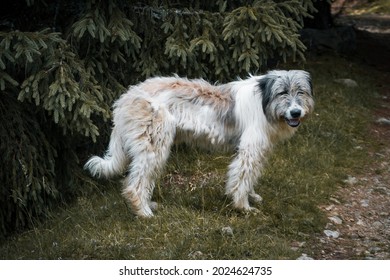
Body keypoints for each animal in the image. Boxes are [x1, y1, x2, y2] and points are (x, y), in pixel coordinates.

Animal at [84, 70, 314, 217]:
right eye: (282, 92)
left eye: (300, 92)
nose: (296, 112)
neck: (264, 102)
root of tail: (125, 99)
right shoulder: (249, 150)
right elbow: (241, 179)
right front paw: (243, 207)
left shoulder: (258, 151)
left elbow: (250, 176)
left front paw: (252, 197)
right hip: (154, 147)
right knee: (135, 185)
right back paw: (144, 213)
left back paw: (148, 205)